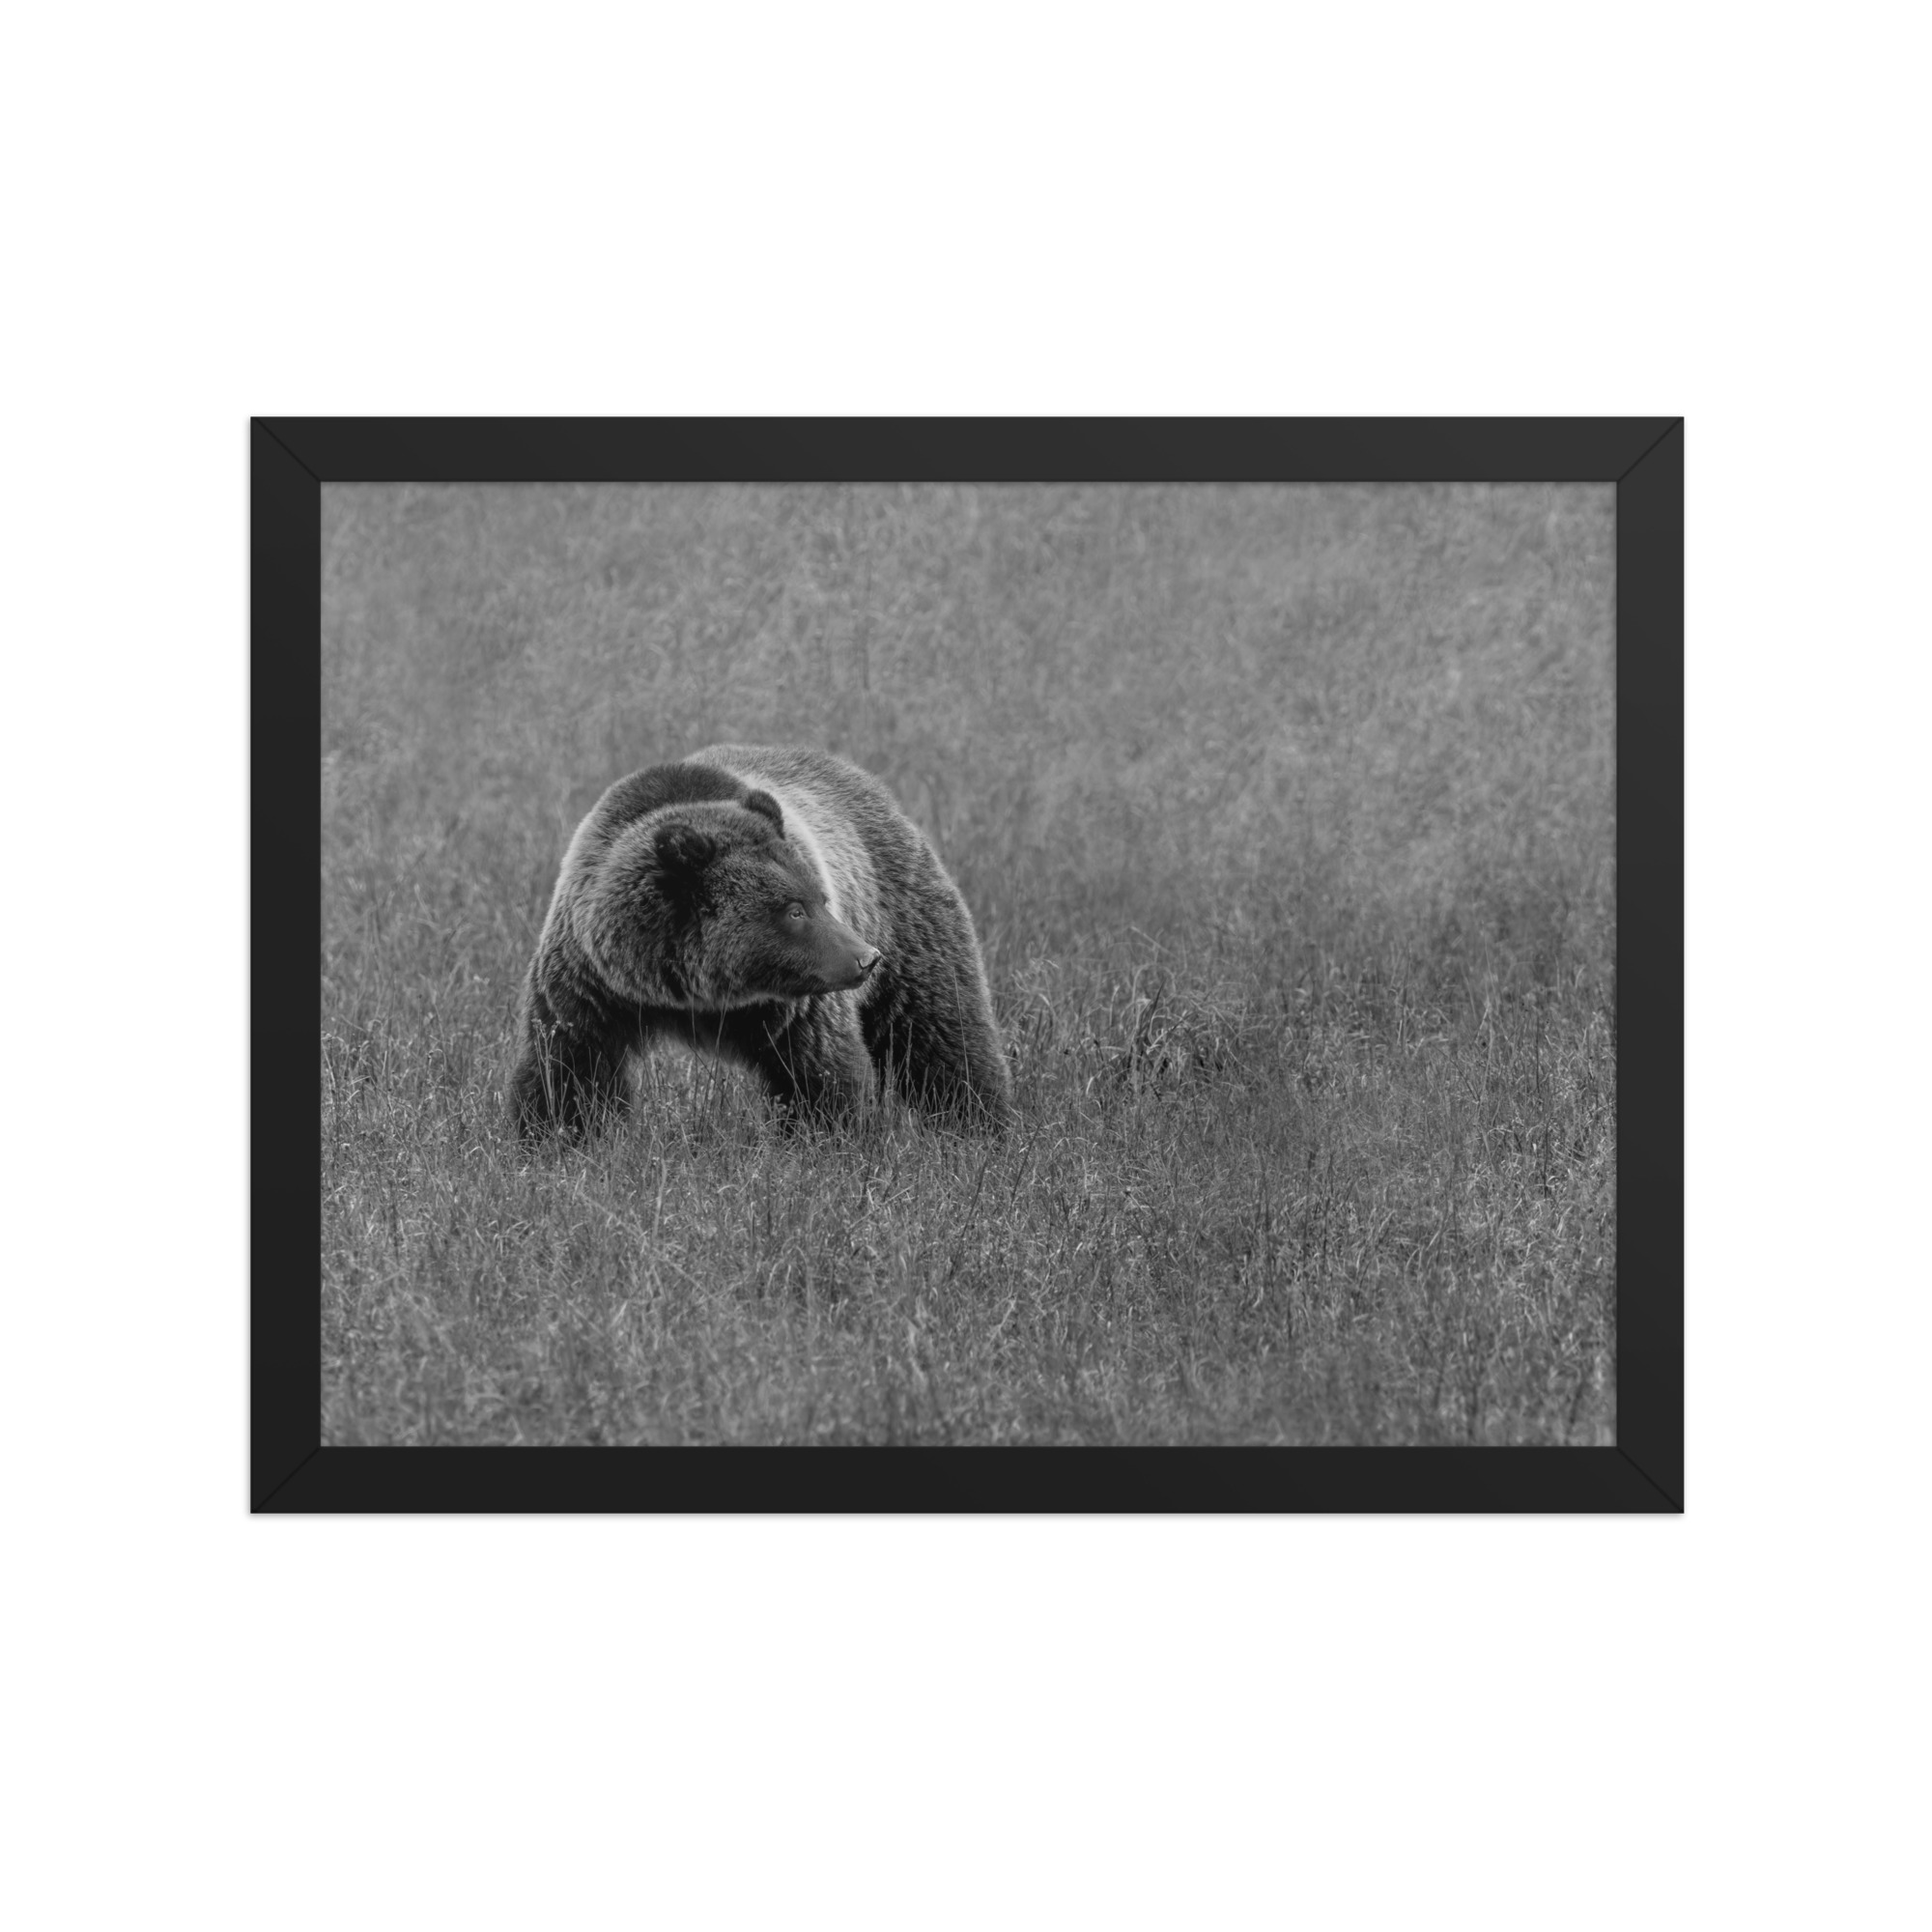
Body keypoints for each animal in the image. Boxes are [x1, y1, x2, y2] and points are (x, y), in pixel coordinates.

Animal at [509, 744, 1011, 1138]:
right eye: (794, 910)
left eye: (820, 898)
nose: (866, 959)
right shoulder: (592, 984)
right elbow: (569, 1070)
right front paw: (555, 1139)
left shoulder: (796, 1006)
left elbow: (820, 1075)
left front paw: (831, 1141)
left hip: (905, 918)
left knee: (941, 1032)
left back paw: (981, 1127)